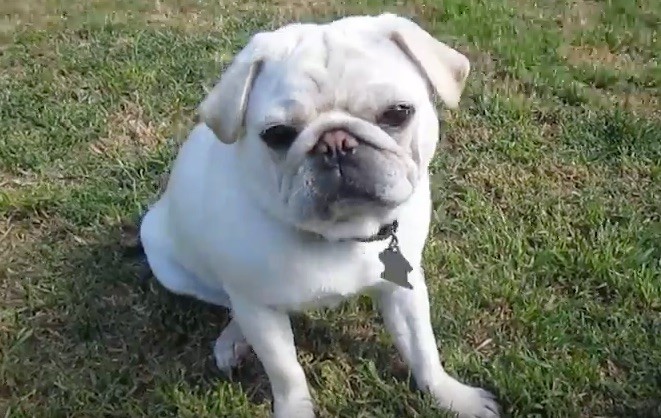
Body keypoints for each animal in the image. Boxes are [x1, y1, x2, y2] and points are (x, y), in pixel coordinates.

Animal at [141, 11, 500, 416]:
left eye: (397, 113)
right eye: (277, 134)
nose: (336, 142)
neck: (342, 234)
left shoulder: (404, 287)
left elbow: (423, 349)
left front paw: (451, 396)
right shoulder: (260, 310)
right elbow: (286, 373)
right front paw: (294, 409)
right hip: (172, 266)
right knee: (228, 304)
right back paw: (233, 339)